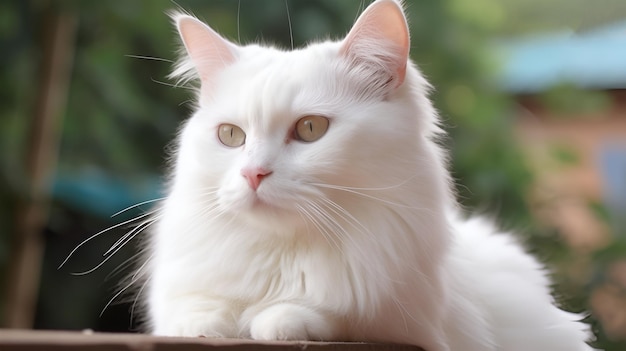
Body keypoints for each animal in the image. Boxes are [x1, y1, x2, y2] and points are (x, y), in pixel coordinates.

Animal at [140, 0, 588, 351]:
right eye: (231, 136)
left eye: (310, 129)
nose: (253, 173)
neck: (283, 254)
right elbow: (193, 311)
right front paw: (206, 322)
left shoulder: (407, 319)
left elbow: (333, 313)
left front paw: (277, 318)